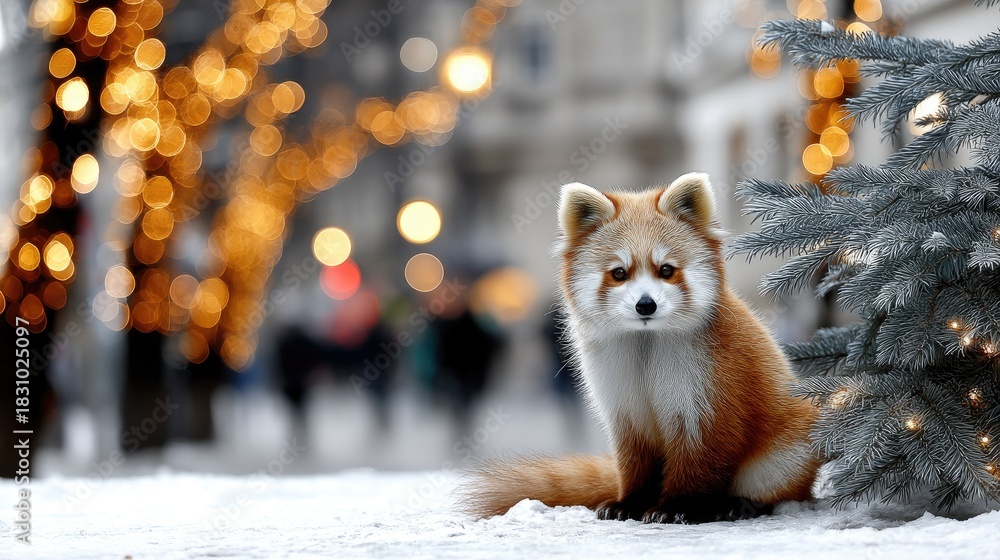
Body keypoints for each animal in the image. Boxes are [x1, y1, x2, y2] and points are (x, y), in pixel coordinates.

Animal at [464, 173, 821, 524]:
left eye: (666, 270)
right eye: (619, 273)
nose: (645, 304)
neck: (645, 342)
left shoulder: (712, 387)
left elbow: (704, 454)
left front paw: (679, 506)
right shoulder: (620, 399)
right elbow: (634, 459)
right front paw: (629, 503)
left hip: (790, 445)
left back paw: (738, 504)